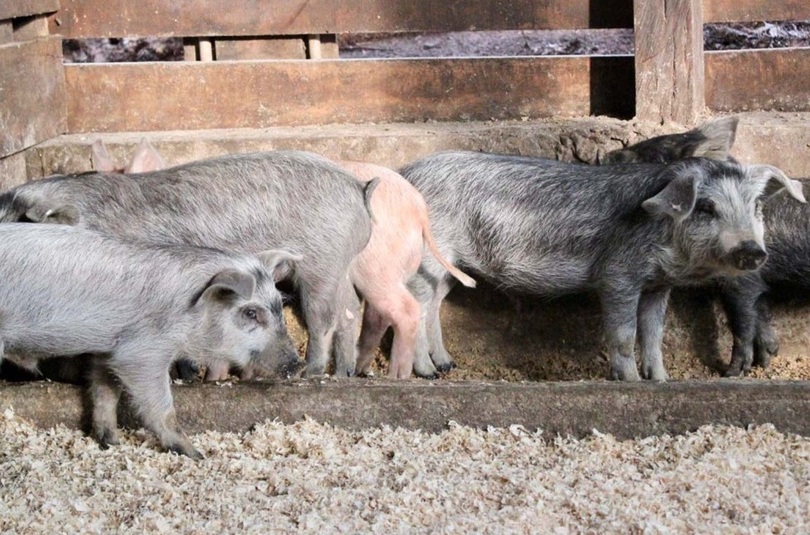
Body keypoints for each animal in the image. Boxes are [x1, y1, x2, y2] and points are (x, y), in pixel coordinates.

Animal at [0, 150, 376, 378]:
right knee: (350, 311)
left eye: (22, 219)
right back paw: (345, 373)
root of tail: (359, 188)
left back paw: (311, 373)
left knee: (323, 319)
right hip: (342, 267)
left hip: (321, 266)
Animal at [0, 223, 300, 458]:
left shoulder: (109, 349)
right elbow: (160, 405)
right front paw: (196, 454)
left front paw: (110, 442)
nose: (296, 365)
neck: (189, 310)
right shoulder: (141, 351)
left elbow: (105, 391)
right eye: (251, 313)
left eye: (279, 306)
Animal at [400, 151, 805, 380]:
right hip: (428, 259)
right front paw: (630, 381)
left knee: (433, 306)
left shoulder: (658, 285)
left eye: (756, 206)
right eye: (706, 207)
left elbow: (654, 333)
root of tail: (405, 173)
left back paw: (447, 366)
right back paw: (426, 374)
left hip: (447, 267)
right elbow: (624, 334)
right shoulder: (618, 276)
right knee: (417, 307)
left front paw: (662, 380)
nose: (753, 251)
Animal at [601, 117, 807, 376]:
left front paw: (732, 373)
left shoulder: (742, 278)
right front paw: (766, 357)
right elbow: (760, 312)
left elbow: (743, 320)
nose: (606, 156)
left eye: (651, 152)